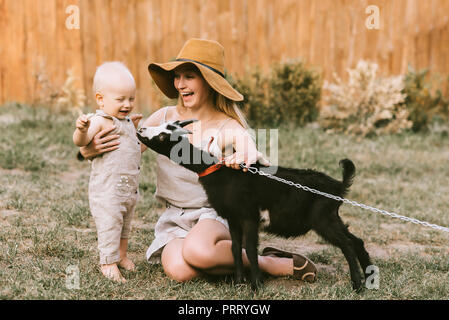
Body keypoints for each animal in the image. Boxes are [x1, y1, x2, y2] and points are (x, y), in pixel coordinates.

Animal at [136, 119, 372, 290]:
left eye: (164, 134)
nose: (141, 129)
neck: (218, 172)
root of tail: (338, 185)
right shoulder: (232, 218)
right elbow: (234, 248)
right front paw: (239, 282)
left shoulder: (248, 215)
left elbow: (249, 248)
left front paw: (256, 286)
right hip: (331, 217)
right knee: (356, 241)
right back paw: (369, 278)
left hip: (323, 218)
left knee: (347, 244)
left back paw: (357, 285)